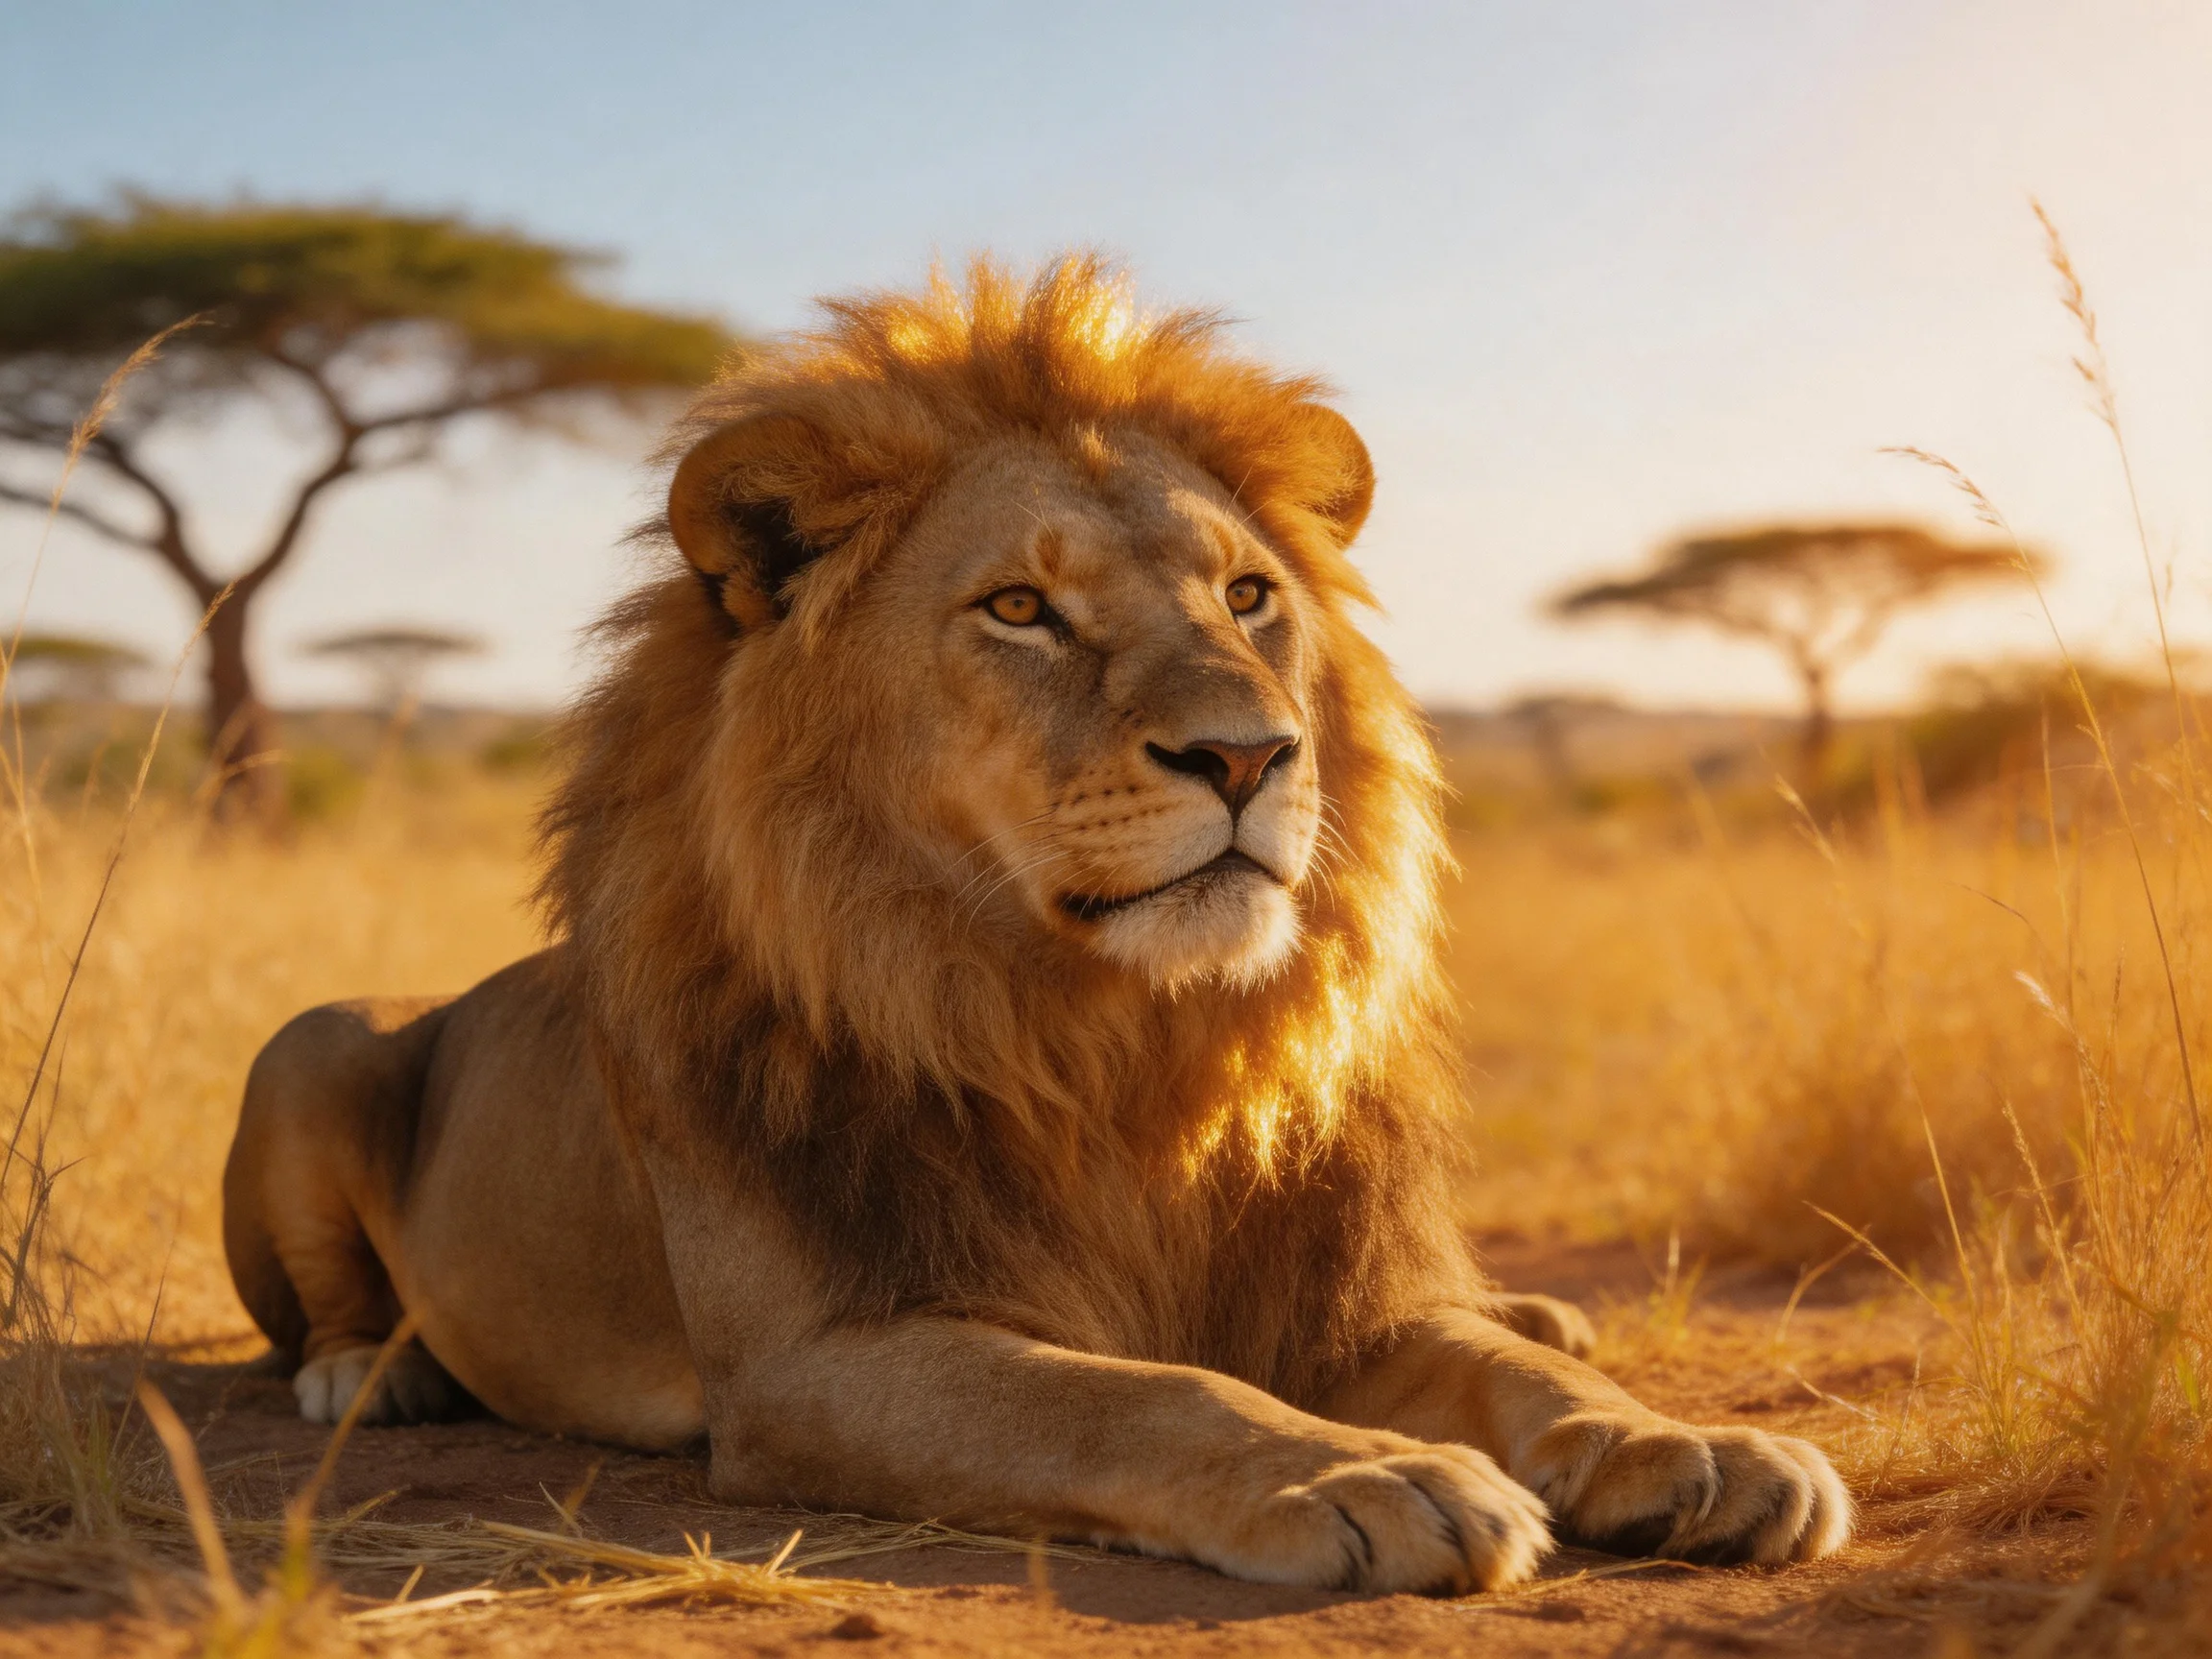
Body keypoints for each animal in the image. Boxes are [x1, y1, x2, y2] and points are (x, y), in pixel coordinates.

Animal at [222, 257, 1850, 1594]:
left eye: (1248, 596)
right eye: (1020, 610)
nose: (1251, 756)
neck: (1109, 1038)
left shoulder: (1335, 1303)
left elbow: (1508, 1372)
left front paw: (1690, 1449)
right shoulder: (815, 1361)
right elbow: (1131, 1391)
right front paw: (1366, 1472)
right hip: (313, 1040)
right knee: (320, 1307)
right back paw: (372, 1378)